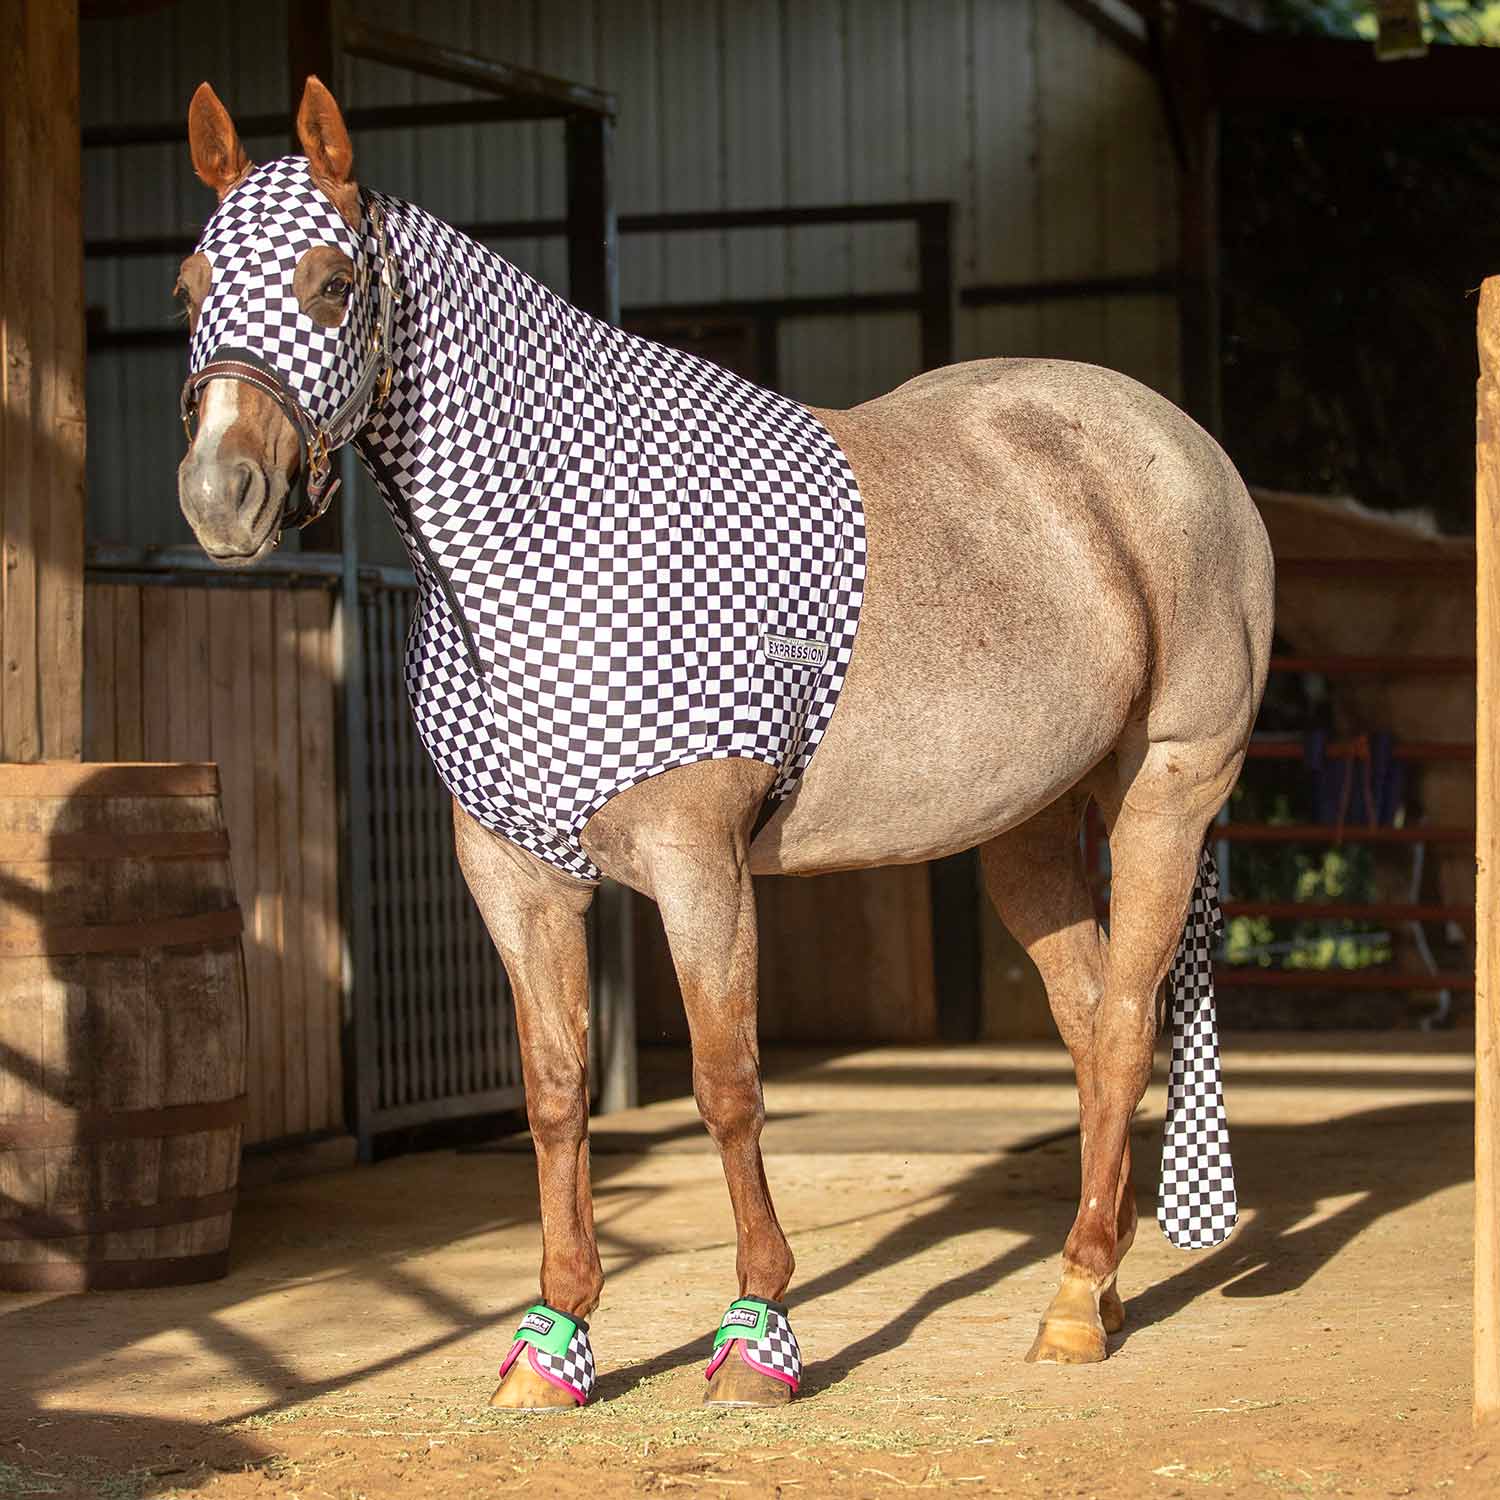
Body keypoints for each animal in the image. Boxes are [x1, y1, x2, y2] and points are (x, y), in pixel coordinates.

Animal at [173, 77, 1274, 1410]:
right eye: (186, 286)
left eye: (333, 281)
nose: (220, 497)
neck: (559, 533)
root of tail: (1184, 448)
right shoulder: (512, 872)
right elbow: (555, 1093)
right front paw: (554, 1341)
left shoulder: (697, 861)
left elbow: (726, 1083)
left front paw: (757, 1338)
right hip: (1029, 831)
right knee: (1089, 1021)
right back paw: (1096, 1284)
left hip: (1166, 794)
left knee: (1121, 1025)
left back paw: (1070, 1309)